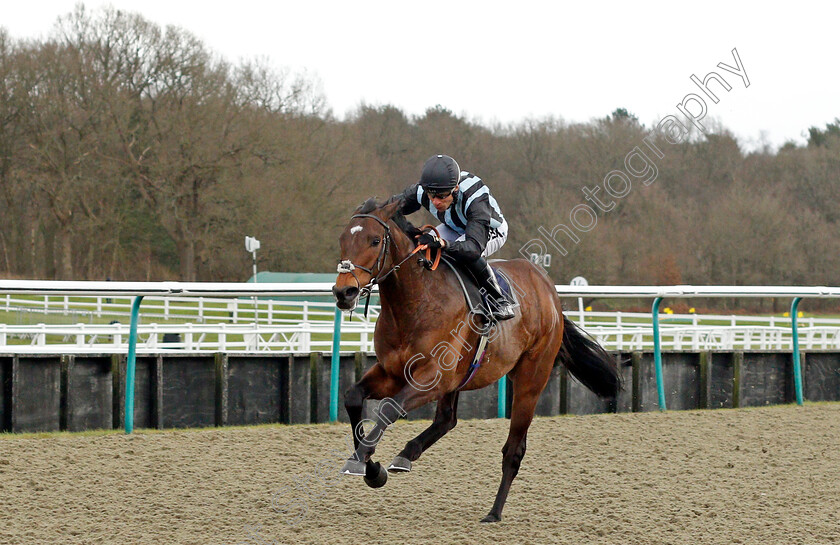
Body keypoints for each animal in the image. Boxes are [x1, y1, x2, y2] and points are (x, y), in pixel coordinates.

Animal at [332, 198, 620, 520]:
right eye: (343, 240)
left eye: (374, 240)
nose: (344, 292)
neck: (416, 302)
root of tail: (549, 292)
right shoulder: (392, 372)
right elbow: (353, 397)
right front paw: (368, 467)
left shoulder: (432, 377)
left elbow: (389, 408)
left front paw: (366, 461)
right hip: (461, 378)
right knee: (447, 419)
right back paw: (406, 455)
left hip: (530, 380)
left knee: (513, 449)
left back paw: (494, 512)